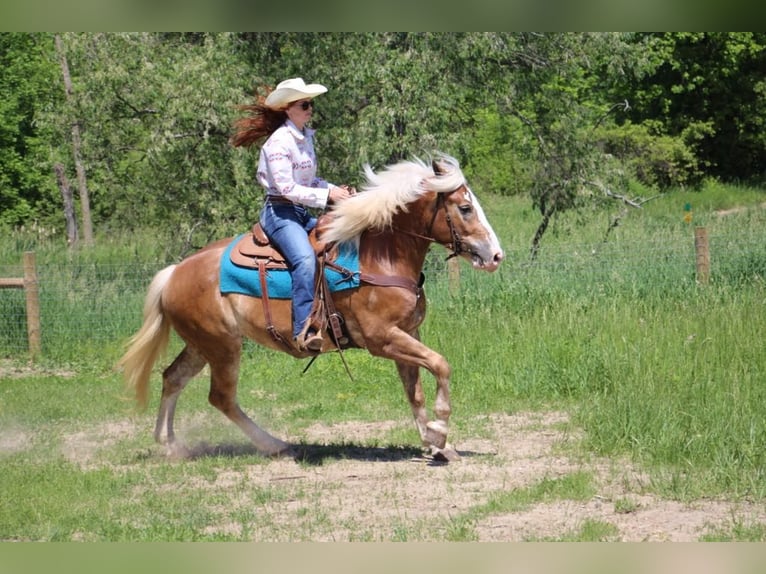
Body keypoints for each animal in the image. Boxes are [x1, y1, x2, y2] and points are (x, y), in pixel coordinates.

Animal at [118, 153, 504, 464]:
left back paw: (171, 445)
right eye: (465, 208)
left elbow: (415, 391)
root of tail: (173, 273)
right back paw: (275, 445)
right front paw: (440, 429)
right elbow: (441, 364)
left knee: (173, 378)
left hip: (202, 345)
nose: (496, 255)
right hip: (223, 347)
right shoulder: (382, 339)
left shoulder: (407, 333)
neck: (379, 258)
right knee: (221, 397)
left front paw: (436, 444)